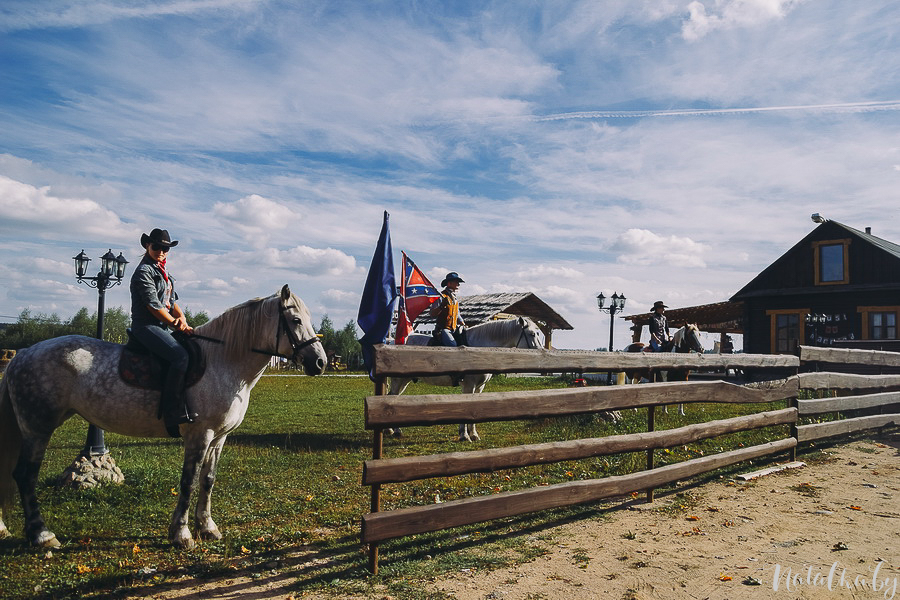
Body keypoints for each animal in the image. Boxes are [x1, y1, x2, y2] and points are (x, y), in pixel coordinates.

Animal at [0, 284, 326, 548]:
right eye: (296, 320)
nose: (320, 363)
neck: (223, 362)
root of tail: (23, 353)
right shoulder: (199, 435)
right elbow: (189, 481)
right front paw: (181, 534)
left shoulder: (219, 438)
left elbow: (208, 480)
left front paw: (207, 527)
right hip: (38, 428)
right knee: (25, 475)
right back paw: (42, 535)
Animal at [386, 318, 540, 440]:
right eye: (532, 334)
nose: (540, 352)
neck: (478, 347)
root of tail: (392, 342)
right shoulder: (468, 386)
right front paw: (464, 435)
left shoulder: (479, 387)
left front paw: (473, 434)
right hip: (398, 380)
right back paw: (395, 431)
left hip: (404, 381)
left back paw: (391, 430)